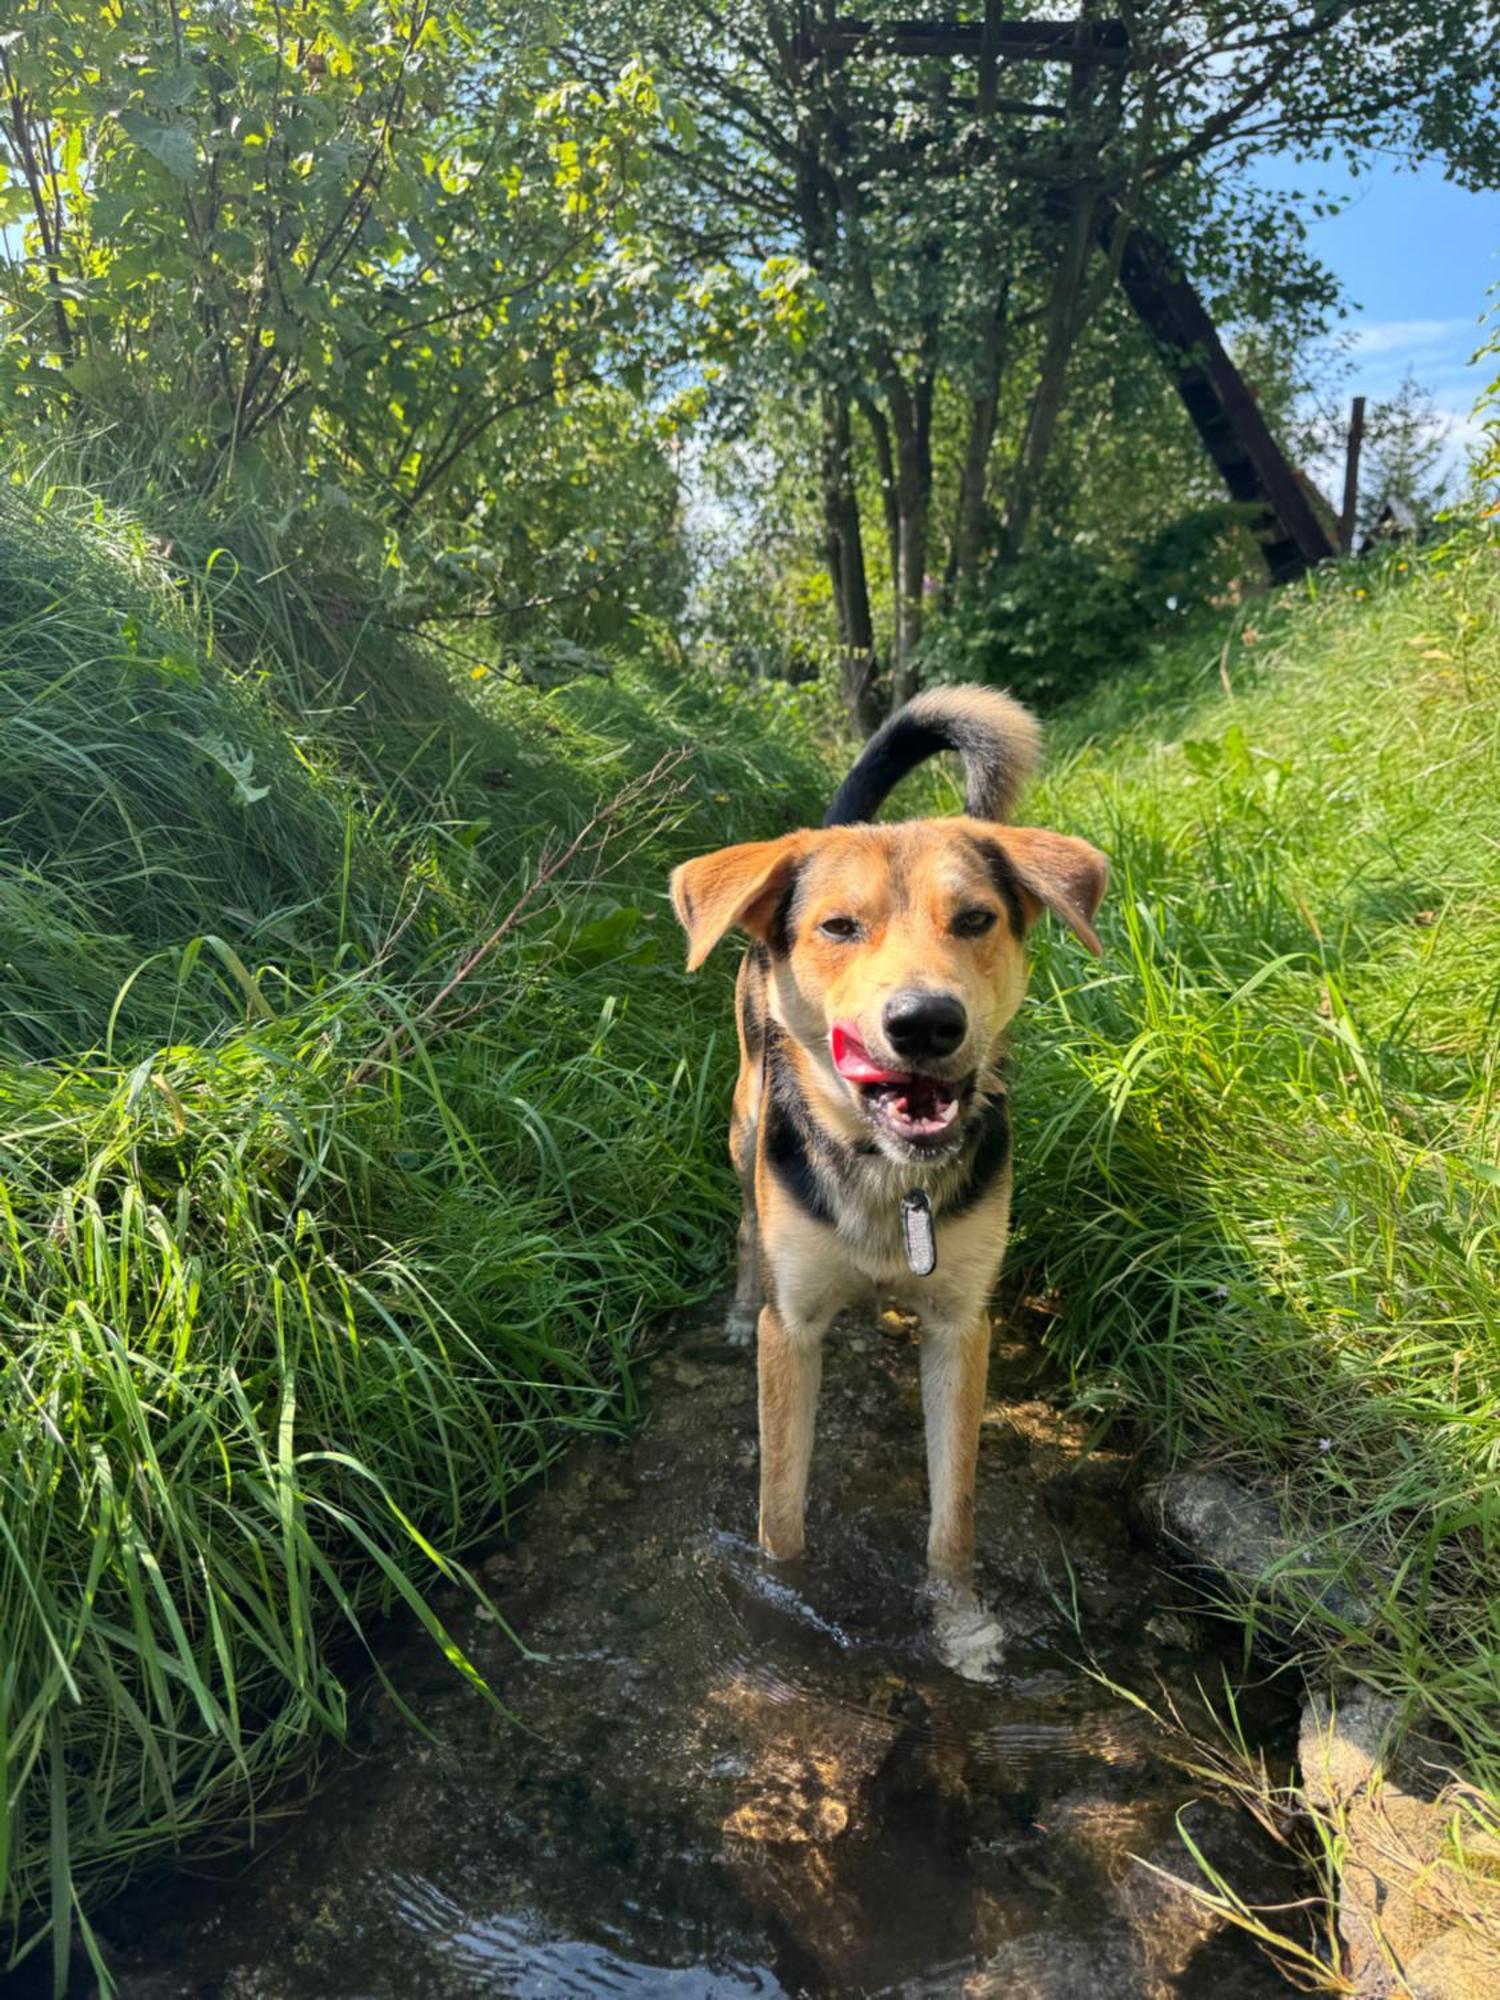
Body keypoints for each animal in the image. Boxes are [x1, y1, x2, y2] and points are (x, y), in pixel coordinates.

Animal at [676, 688, 1112, 1576]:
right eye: (839, 928)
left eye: (976, 918)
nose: (925, 1023)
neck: (891, 1177)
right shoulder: (793, 1332)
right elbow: (780, 1517)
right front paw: (783, 1593)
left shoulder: (960, 1329)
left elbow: (953, 1520)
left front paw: (954, 1607)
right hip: (744, 1127)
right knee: (744, 1225)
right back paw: (738, 1303)